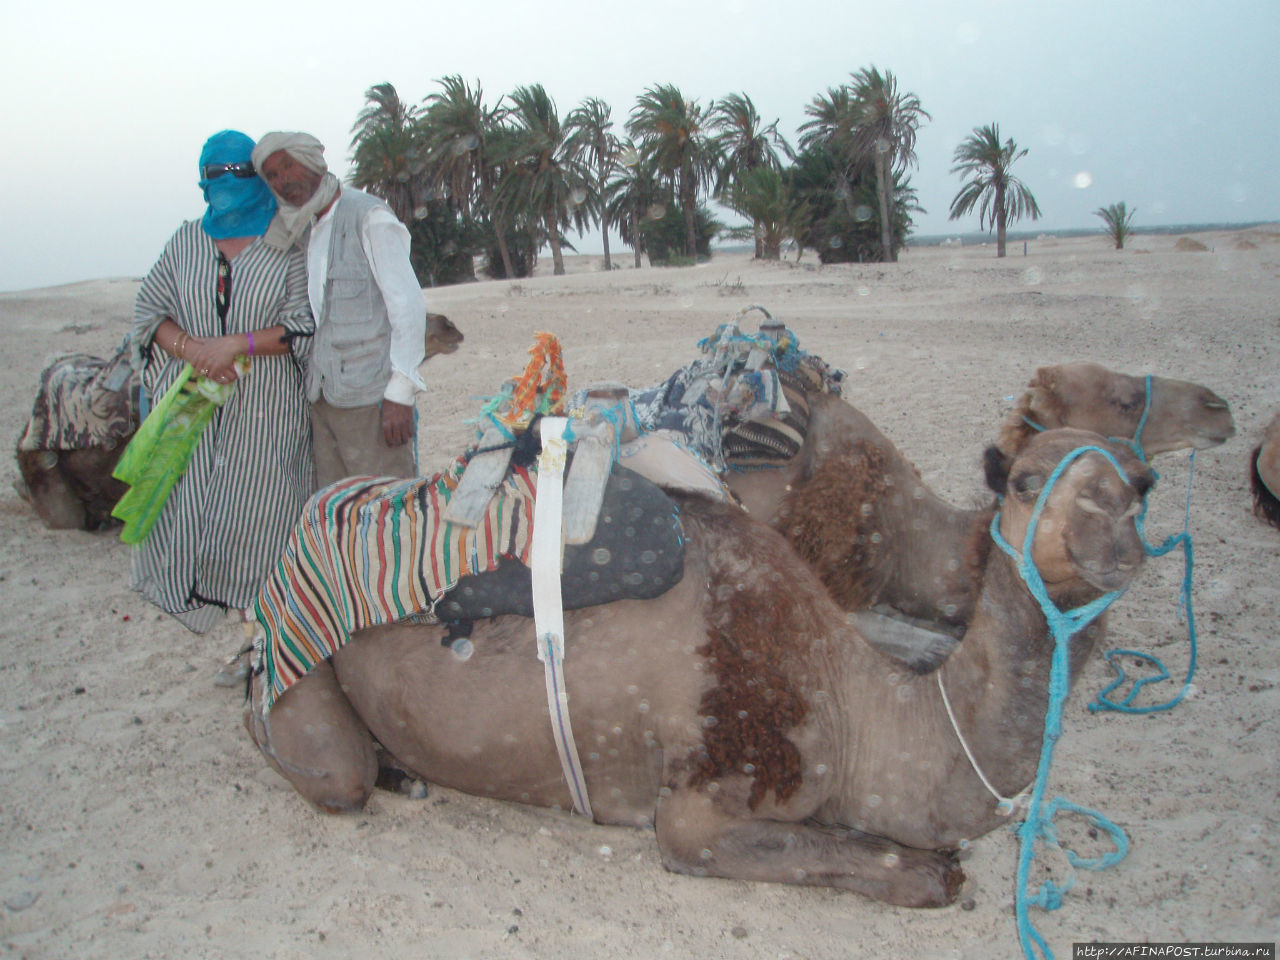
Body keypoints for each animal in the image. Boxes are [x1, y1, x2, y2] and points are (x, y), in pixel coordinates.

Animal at [244, 427, 1157, 911]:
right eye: (1027, 481)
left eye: (1141, 484)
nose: (1113, 541)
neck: (857, 706)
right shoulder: (706, 799)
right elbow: (924, 873)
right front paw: (932, 868)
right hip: (297, 666)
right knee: (322, 761)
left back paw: (406, 772)